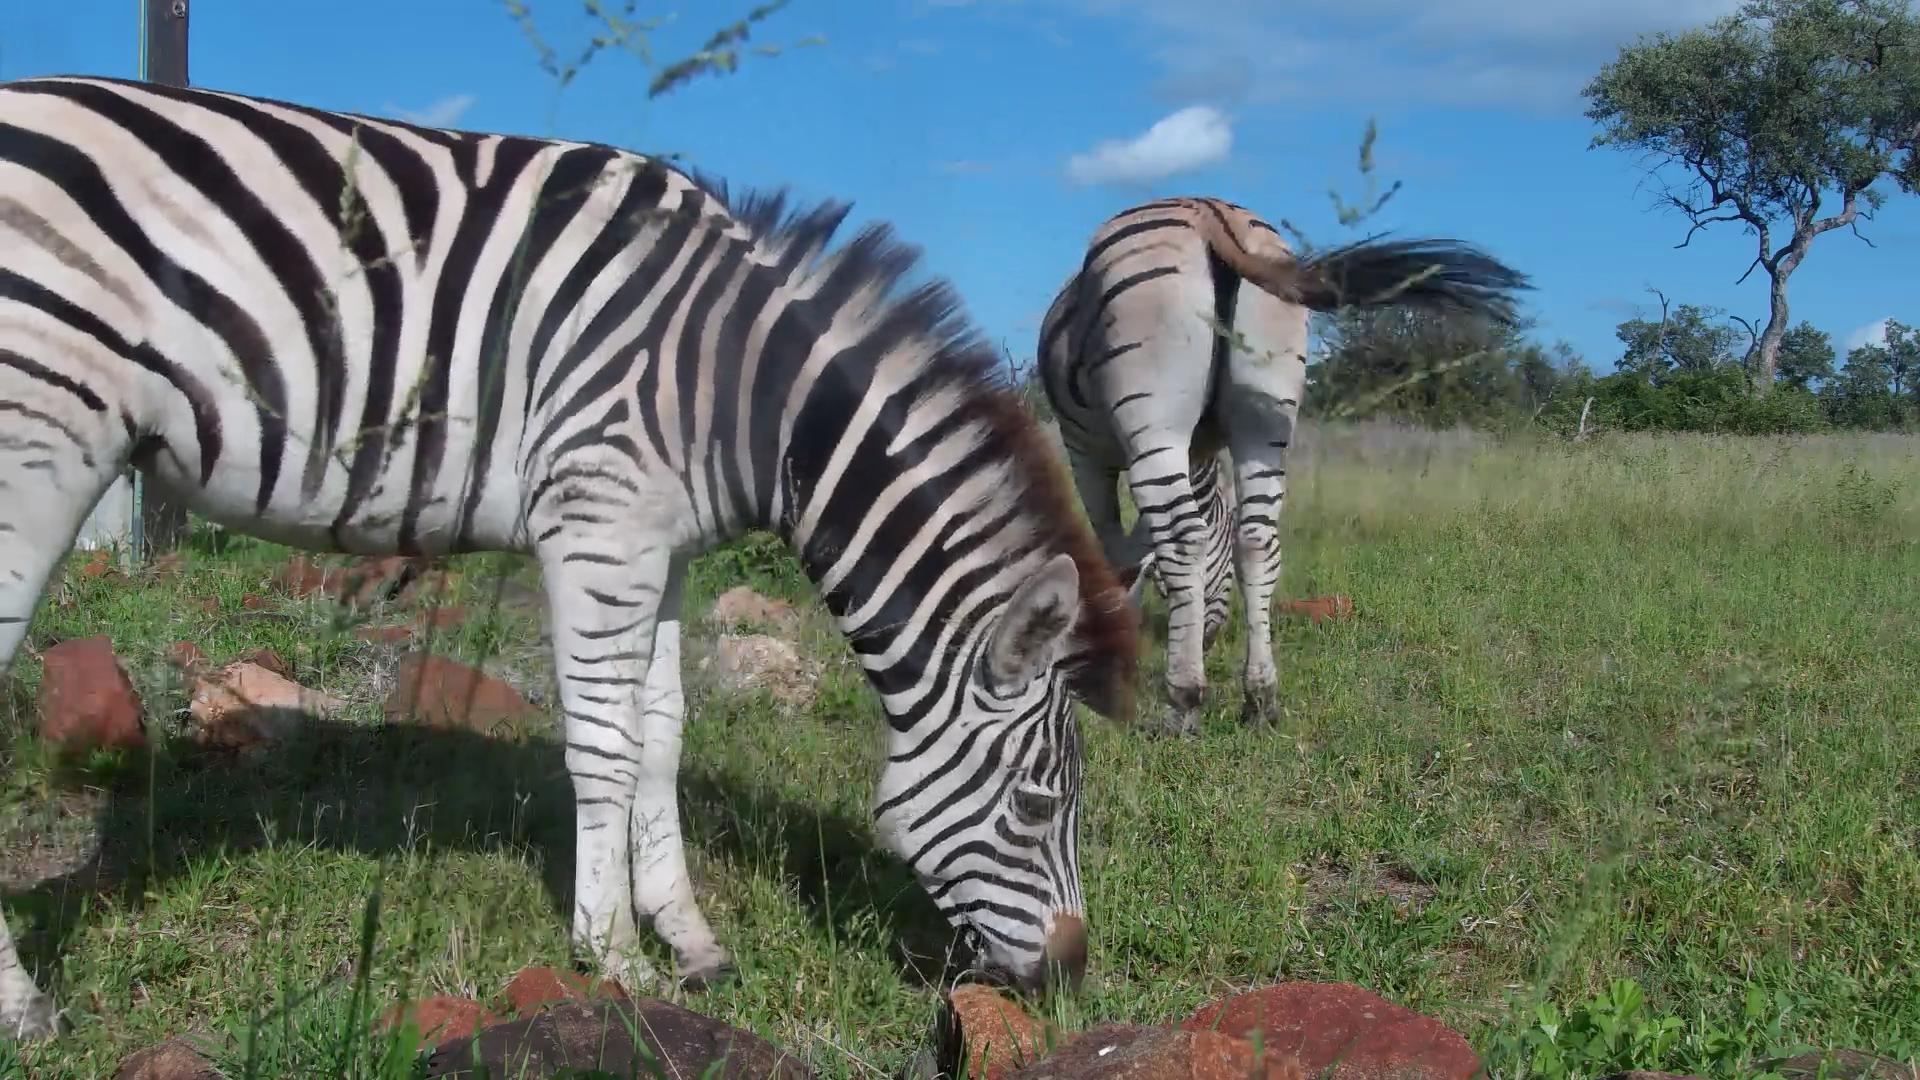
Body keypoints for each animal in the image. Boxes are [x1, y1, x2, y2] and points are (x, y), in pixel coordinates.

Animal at [0, 74, 1139, 1040]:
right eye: (1040, 806)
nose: (1071, 979)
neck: (743, 392)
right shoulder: (595, 528)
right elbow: (606, 746)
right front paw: (615, 955)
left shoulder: (662, 549)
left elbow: (664, 735)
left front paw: (690, 938)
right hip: (41, 440)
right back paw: (24, 1009)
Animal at [1036, 195, 1527, 736]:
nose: (1208, 639)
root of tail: (1208, 210)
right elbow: (1142, 547)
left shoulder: (1085, 451)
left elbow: (1118, 549)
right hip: (1266, 416)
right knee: (1257, 540)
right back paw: (1260, 699)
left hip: (1155, 419)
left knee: (1184, 540)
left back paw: (1184, 701)